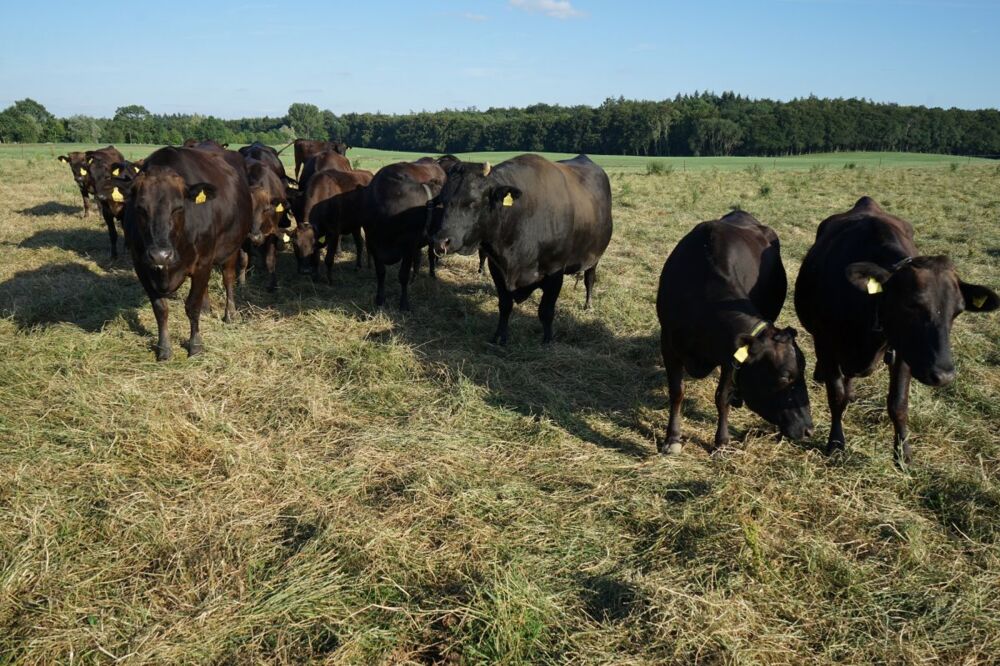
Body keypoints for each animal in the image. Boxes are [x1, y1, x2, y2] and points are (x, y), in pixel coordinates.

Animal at [123, 148, 254, 360]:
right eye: (140, 209)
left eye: (178, 208)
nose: (161, 255)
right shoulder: (141, 266)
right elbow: (160, 309)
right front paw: (164, 348)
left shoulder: (203, 262)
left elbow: (192, 306)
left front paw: (195, 345)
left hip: (231, 248)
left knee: (228, 279)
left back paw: (230, 313)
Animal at [362, 161, 444, 308]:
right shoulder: (373, 243)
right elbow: (381, 272)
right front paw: (379, 299)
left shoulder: (408, 246)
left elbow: (403, 275)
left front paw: (404, 303)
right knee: (418, 258)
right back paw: (415, 278)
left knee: (430, 255)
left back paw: (432, 274)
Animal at [430, 154, 608, 342]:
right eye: (443, 201)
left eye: (473, 202)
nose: (441, 242)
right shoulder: (497, 269)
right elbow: (505, 305)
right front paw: (499, 337)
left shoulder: (555, 273)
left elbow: (546, 311)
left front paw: (547, 340)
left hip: (594, 257)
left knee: (589, 279)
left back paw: (588, 304)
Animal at [656, 210, 812, 454]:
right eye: (784, 377)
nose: (808, 429)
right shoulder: (669, 345)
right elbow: (677, 392)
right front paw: (672, 438)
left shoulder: (730, 359)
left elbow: (722, 398)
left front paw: (721, 441)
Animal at [792, 195, 996, 460]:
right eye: (911, 304)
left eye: (958, 310)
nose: (944, 375)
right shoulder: (826, 343)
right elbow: (836, 397)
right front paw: (836, 442)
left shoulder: (903, 353)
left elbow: (898, 403)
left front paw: (903, 452)